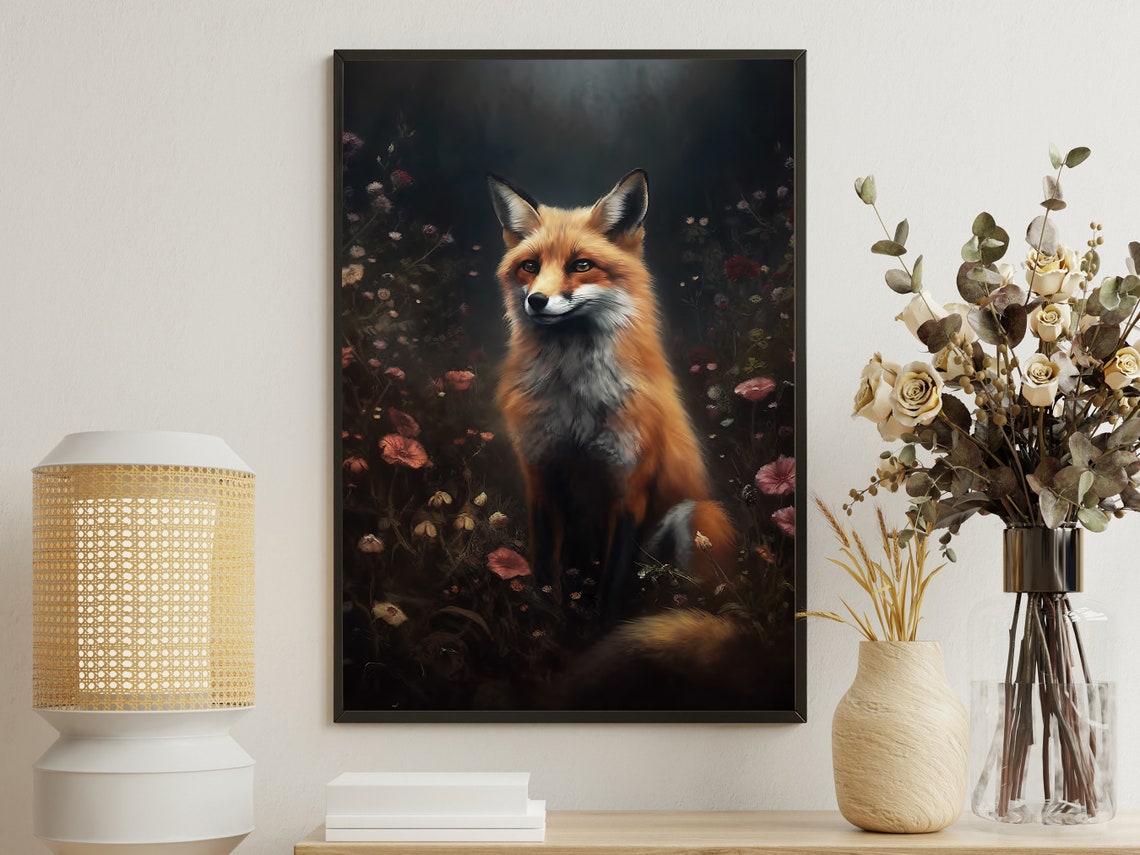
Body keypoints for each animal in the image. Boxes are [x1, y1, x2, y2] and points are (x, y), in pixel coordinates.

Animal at [487, 168, 736, 628]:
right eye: (530, 266)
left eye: (581, 265)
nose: (536, 300)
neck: (575, 405)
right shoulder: (541, 476)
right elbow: (545, 572)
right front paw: (545, 630)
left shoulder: (630, 487)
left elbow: (615, 584)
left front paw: (603, 633)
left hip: (697, 516)